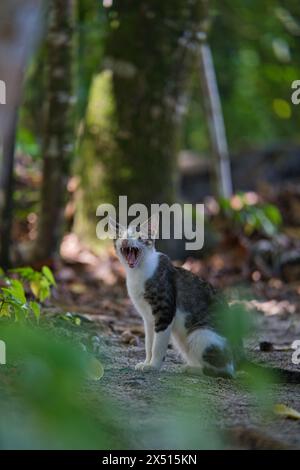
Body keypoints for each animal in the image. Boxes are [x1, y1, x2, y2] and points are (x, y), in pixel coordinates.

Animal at [109, 215, 234, 376]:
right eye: (121, 236)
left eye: (139, 237)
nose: (125, 241)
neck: (138, 272)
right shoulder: (148, 319)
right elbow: (149, 342)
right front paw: (146, 362)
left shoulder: (164, 311)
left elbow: (158, 344)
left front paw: (153, 366)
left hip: (201, 334)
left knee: (225, 371)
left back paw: (192, 369)